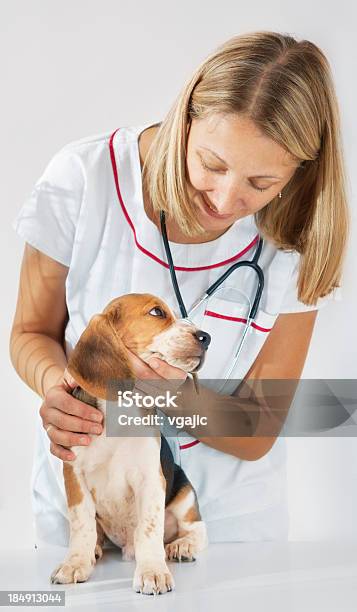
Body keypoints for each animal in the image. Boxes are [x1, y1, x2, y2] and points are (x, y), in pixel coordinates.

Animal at [50, 294, 211, 596]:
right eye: (157, 312)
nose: (206, 337)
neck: (119, 407)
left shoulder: (151, 478)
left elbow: (148, 529)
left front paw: (153, 572)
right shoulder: (74, 475)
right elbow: (82, 525)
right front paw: (75, 563)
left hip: (185, 495)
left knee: (197, 529)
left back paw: (182, 545)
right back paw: (95, 550)